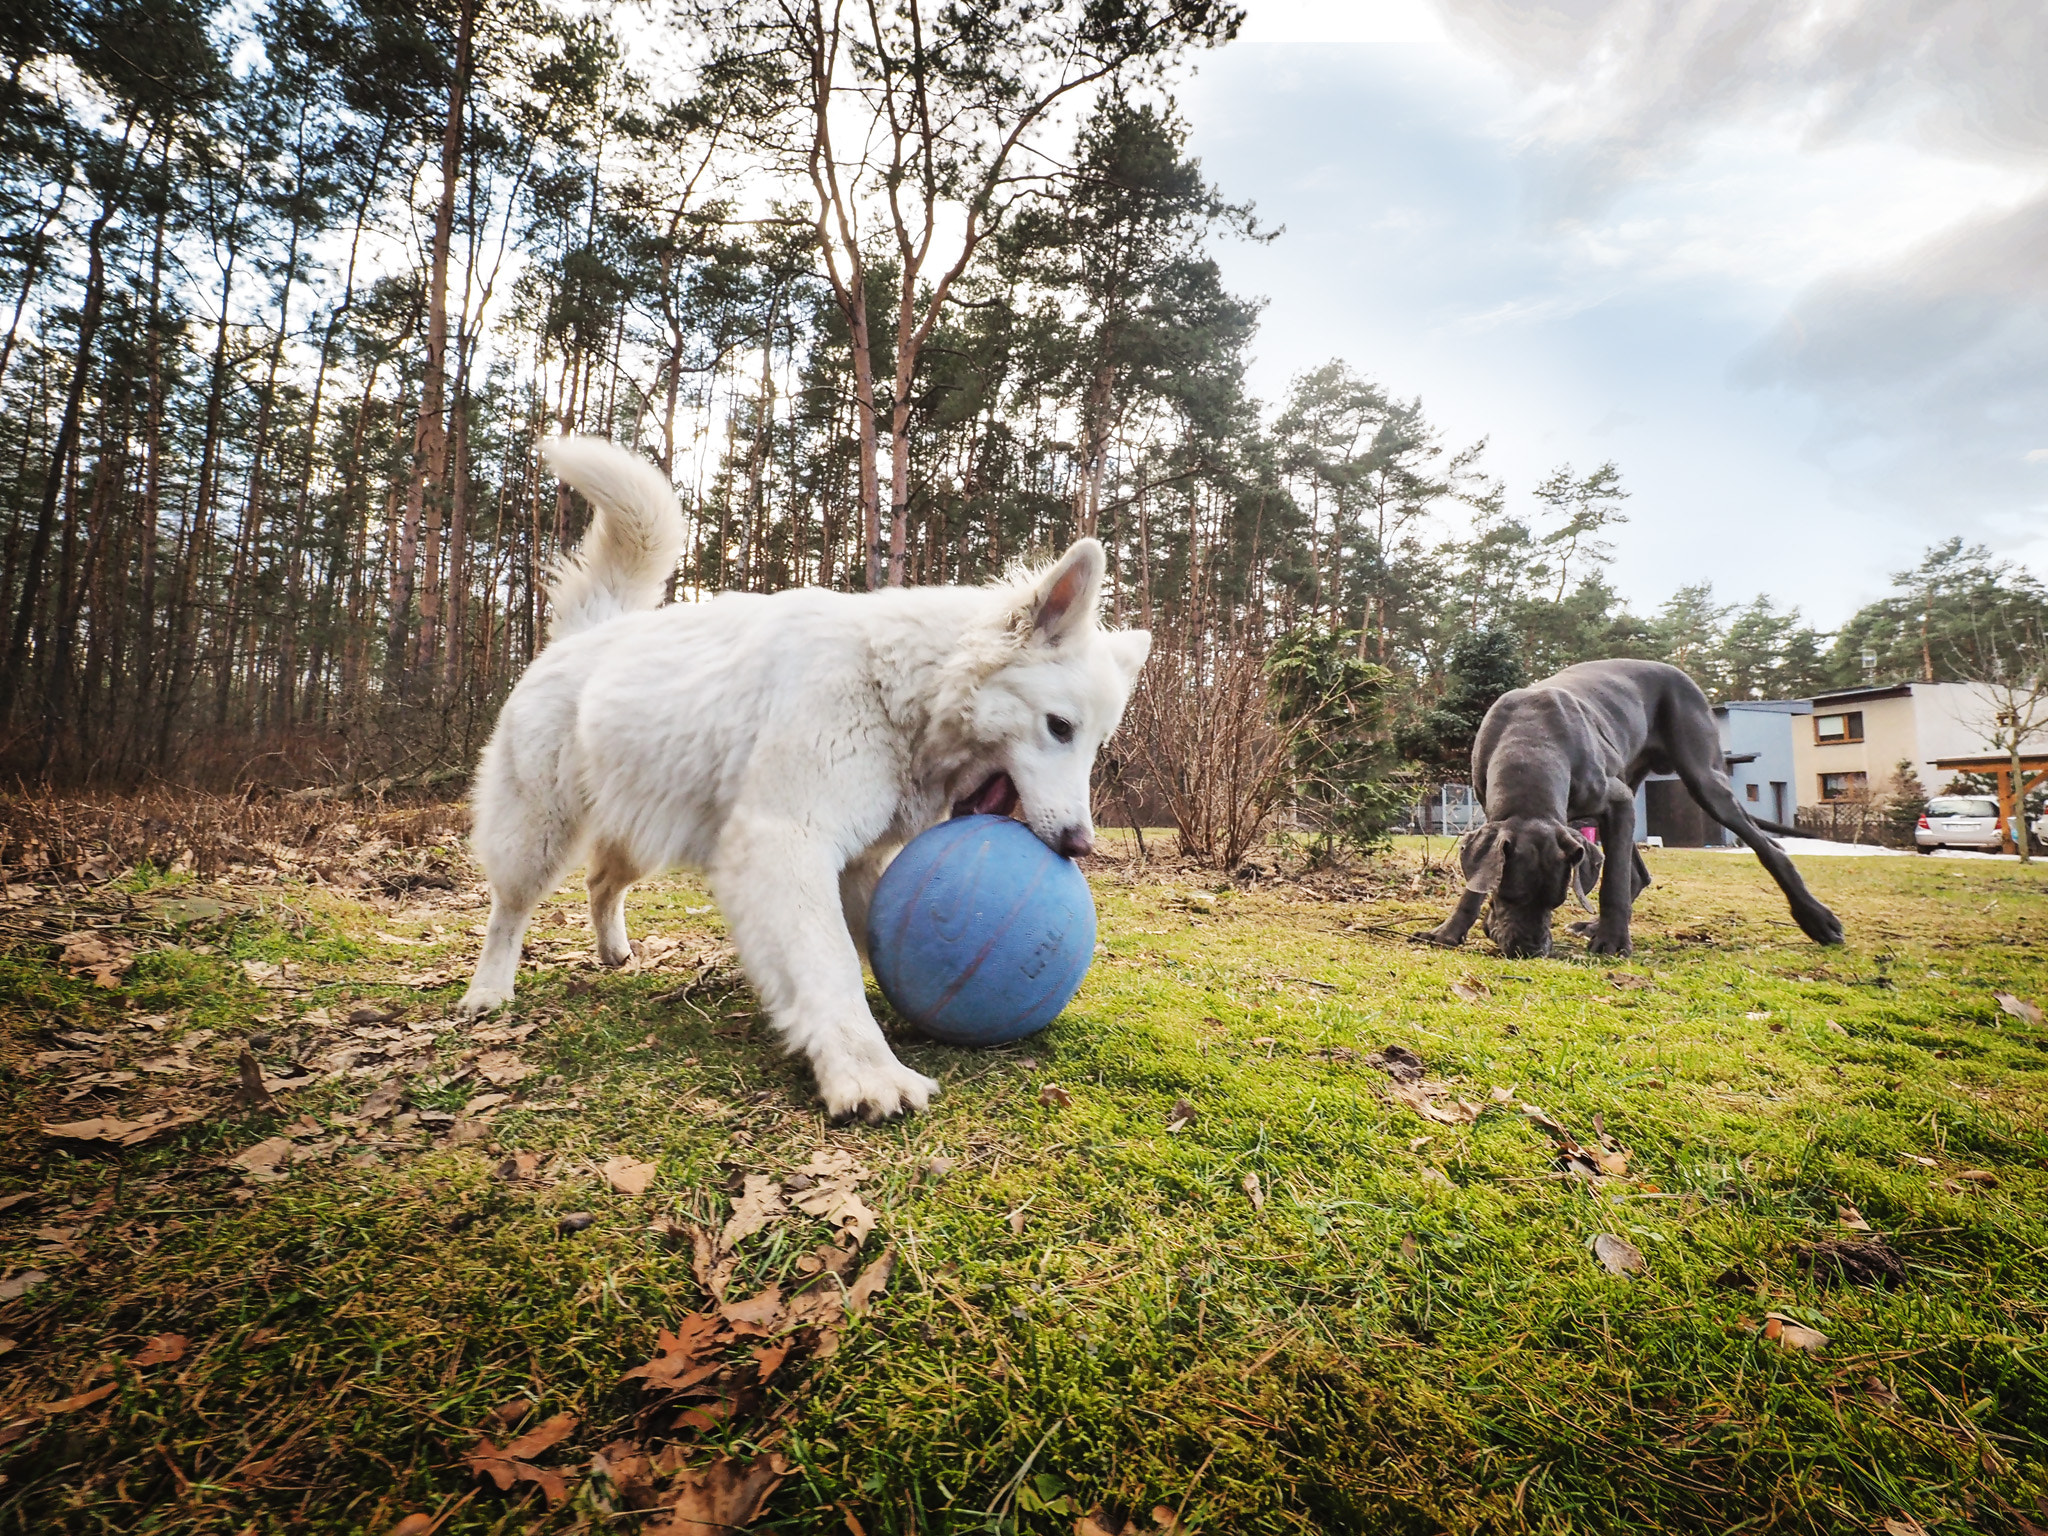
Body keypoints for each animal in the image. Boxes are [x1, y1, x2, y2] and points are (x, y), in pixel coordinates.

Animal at [458, 438, 1155, 1122]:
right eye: (1059, 727)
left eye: (1096, 744)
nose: (1080, 845)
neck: (894, 687)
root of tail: (589, 631)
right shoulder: (786, 843)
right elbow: (829, 962)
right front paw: (865, 1071)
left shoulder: (856, 862)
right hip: (538, 833)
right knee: (509, 911)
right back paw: (488, 992)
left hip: (648, 825)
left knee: (602, 880)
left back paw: (614, 952)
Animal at [1425, 663, 1843, 962]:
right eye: (1507, 894)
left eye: (1555, 902)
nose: (1529, 950)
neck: (1531, 744)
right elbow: (1476, 881)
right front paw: (1450, 931)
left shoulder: (1616, 801)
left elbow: (1612, 884)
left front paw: (1613, 942)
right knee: (1638, 872)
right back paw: (1594, 925)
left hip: (1703, 779)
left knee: (1770, 848)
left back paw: (1818, 920)